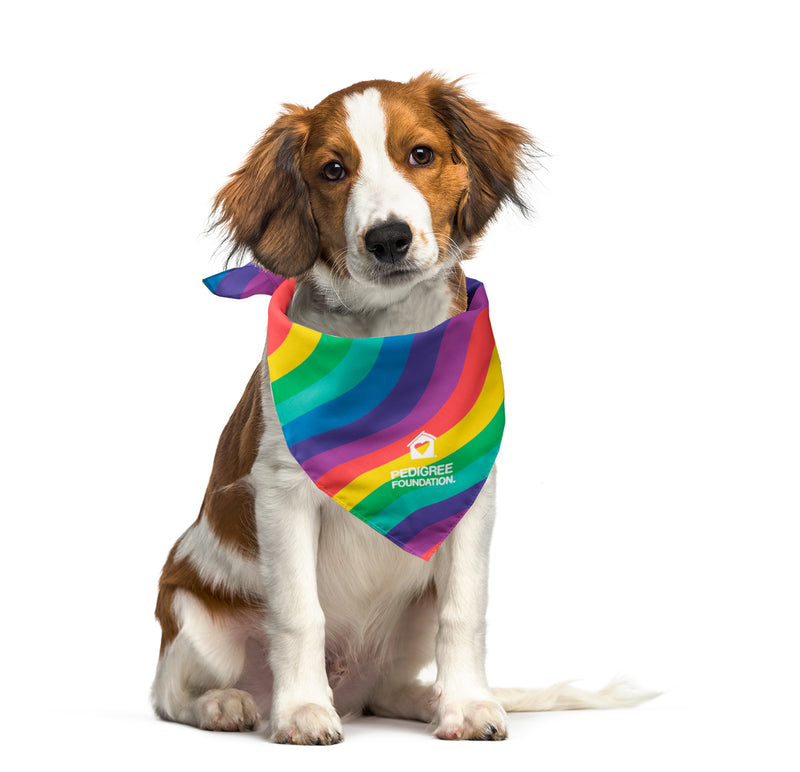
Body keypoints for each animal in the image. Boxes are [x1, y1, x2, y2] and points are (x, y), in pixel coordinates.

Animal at [150, 72, 648, 740]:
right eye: (333, 170)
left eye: (420, 154)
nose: (388, 238)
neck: (387, 337)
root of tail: (351, 686)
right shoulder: (281, 494)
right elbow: (300, 613)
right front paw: (301, 710)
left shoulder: (471, 495)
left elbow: (465, 612)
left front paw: (467, 704)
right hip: (194, 615)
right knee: (171, 692)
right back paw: (228, 704)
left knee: (390, 688)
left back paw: (428, 700)